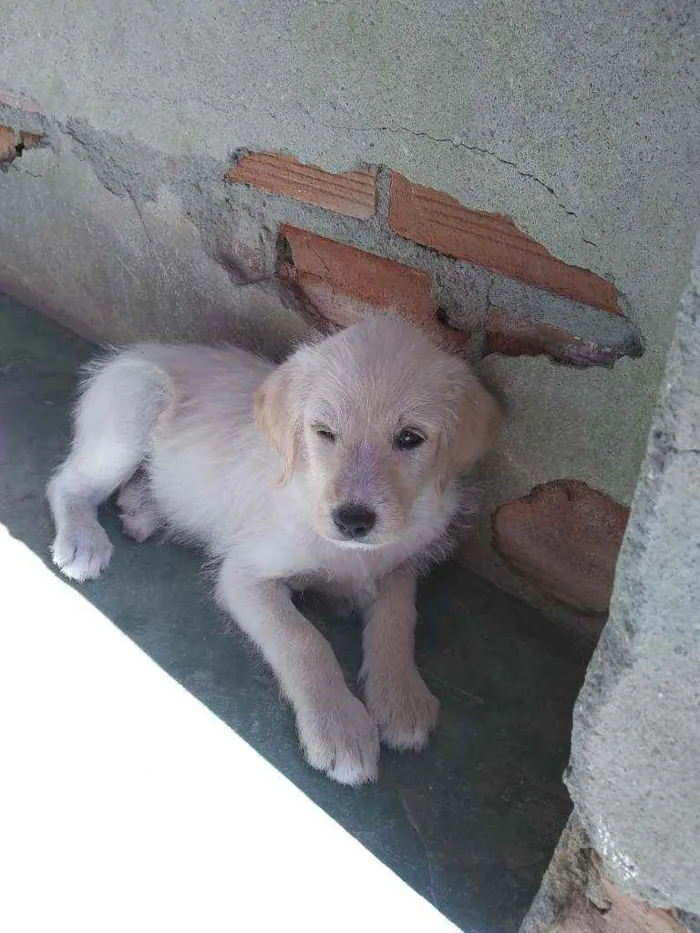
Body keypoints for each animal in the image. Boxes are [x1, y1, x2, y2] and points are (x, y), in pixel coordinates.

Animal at [49, 314, 504, 788]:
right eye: (324, 433)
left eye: (410, 438)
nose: (353, 520)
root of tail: (131, 353)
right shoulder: (244, 576)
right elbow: (304, 641)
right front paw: (339, 728)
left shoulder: (400, 562)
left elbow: (397, 619)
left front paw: (400, 696)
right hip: (134, 403)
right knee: (66, 483)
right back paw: (82, 540)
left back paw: (143, 508)